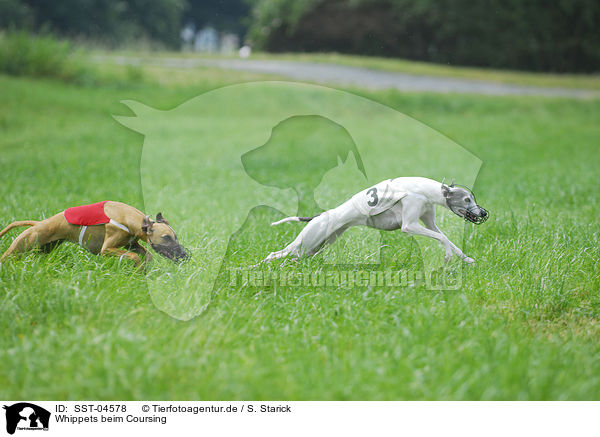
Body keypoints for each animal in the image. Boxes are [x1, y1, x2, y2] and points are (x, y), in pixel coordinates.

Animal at [0, 200, 188, 266]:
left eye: (175, 237)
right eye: (166, 237)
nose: (185, 255)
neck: (129, 218)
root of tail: (38, 224)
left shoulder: (132, 244)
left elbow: (146, 254)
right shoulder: (107, 249)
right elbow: (134, 256)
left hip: (44, 249)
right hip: (21, 246)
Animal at [266, 176, 488, 262]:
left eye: (473, 198)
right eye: (467, 199)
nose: (484, 213)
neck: (424, 191)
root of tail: (319, 216)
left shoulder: (429, 223)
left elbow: (446, 238)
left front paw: (466, 259)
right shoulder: (409, 225)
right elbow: (442, 239)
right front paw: (448, 256)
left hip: (315, 247)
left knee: (290, 257)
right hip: (307, 242)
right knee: (274, 254)